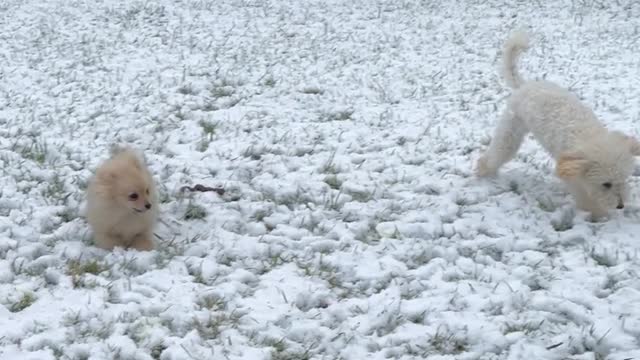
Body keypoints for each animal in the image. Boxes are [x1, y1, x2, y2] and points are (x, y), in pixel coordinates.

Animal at [476, 31, 640, 218]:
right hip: (511, 131)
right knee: (498, 152)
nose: (620, 205)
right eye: (606, 184)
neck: (588, 136)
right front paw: (598, 214)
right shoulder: (574, 177)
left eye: (624, 179)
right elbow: (585, 199)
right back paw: (483, 170)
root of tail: (524, 85)